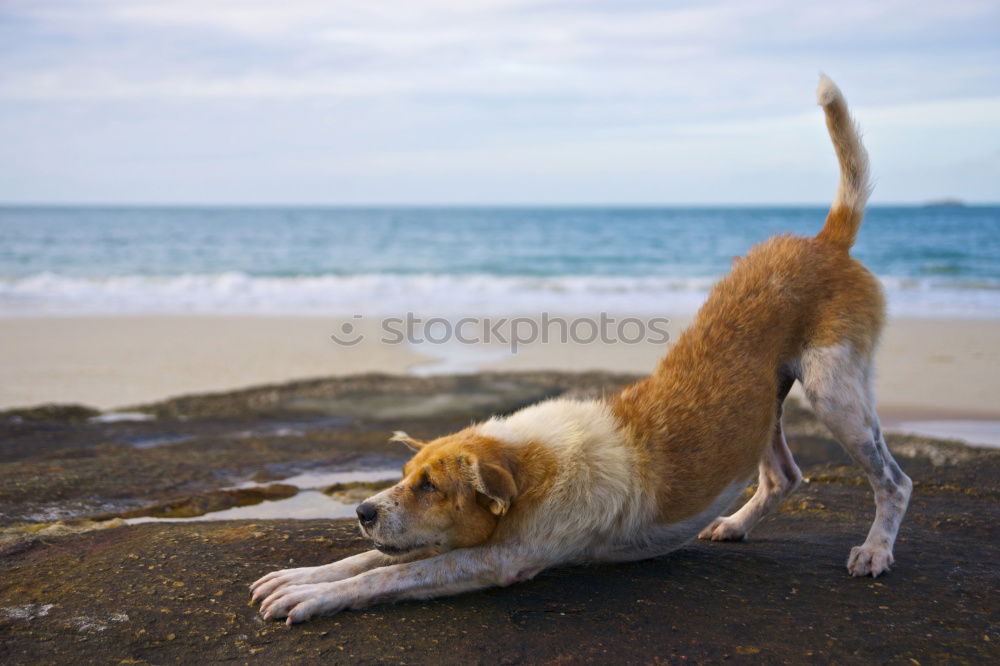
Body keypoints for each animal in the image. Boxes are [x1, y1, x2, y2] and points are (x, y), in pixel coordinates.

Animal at [252, 78, 916, 624]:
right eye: (405, 476)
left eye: (431, 487)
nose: (362, 511)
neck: (529, 465)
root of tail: (826, 240)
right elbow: (366, 562)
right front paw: (301, 577)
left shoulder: (498, 561)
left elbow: (388, 575)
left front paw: (312, 596)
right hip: (770, 400)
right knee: (783, 475)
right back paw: (735, 524)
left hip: (834, 391)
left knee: (895, 481)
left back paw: (874, 550)